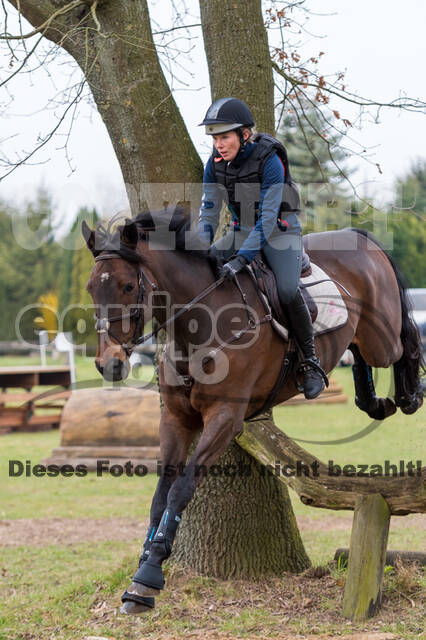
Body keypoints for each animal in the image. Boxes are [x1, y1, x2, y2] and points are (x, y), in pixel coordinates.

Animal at [82, 210, 422, 616]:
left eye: (127, 286)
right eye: (90, 288)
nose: (109, 364)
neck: (198, 328)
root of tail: (359, 237)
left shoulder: (225, 418)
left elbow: (181, 489)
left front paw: (149, 575)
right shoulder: (176, 421)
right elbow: (160, 495)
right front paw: (143, 568)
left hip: (380, 338)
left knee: (405, 343)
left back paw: (411, 394)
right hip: (362, 339)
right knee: (359, 355)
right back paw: (373, 401)